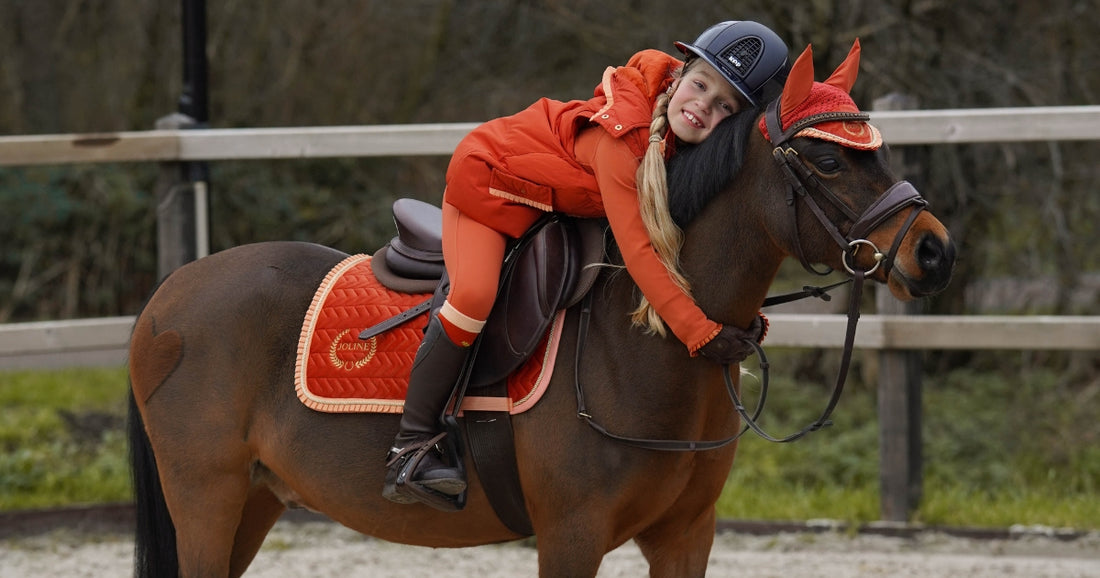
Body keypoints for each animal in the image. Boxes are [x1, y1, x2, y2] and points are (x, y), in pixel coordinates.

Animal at [127, 43, 956, 577]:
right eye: (828, 158)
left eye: (880, 150)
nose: (935, 252)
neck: (643, 350)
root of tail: (169, 292)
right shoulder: (571, 536)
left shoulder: (686, 537)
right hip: (205, 495)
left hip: (254, 498)